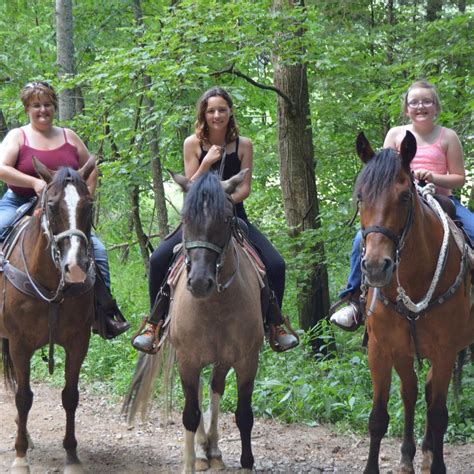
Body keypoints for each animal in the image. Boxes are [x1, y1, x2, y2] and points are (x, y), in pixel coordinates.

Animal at [0, 157, 97, 472]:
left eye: (89, 206)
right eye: (52, 206)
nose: (75, 267)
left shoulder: (79, 342)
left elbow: (70, 396)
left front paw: (72, 455)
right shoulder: (19, 343)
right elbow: (23, 397)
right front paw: (20, 457)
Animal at [123, 170, 262, 474]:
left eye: (226, 218)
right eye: (186, 219)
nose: (199, 282)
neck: (216, 306)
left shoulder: (247, 360)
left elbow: (244, 414)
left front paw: (246, 463)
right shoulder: (187, 359)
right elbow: (189, 413)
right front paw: (190, 462)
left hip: (222, 358)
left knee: (214, 387)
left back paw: (214, 450)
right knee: (198, 394)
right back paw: (202, 452)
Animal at [356, 131, 474, 474]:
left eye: (405, 197)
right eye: (360, 197)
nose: (376, 267)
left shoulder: (445, 350)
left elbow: (438, 414)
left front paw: (438, 466)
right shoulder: (381, 349)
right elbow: (378, 417)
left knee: (431, 394)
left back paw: (427, 451)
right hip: (404, 352)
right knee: (412, 392)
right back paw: (411, 454)